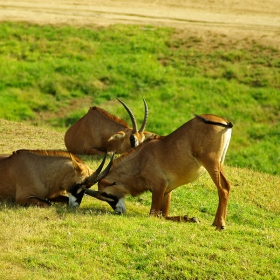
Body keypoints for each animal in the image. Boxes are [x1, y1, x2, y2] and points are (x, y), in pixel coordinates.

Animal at [80, 114, 232, 230]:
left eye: (105, 194)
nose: (119, 211)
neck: (141, 159)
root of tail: (223, 121)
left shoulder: (159, 187)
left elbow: (154, 214)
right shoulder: (167, 190)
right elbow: (164, 215)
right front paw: (191, 218)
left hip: (211, 163)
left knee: (224, 187)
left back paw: (220, 224)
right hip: (220, 163)